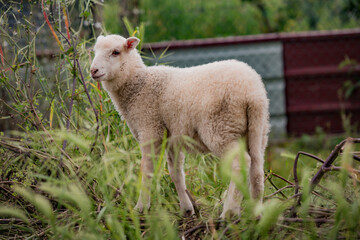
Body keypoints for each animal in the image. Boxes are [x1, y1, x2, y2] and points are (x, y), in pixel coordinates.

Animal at [90, 34, 270, 218]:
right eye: (95, 51)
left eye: (116, 52)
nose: (93, 71)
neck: (139, 84)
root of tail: (251, 93)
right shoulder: (171, 139)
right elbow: (176, 173)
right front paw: (186, 209)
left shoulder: (150, 129)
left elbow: (147, 170)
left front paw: (141, 208)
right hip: (258, 128)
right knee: (257, 168)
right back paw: (256, 213)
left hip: (220, 128)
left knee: (240, 163)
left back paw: (229, 212)